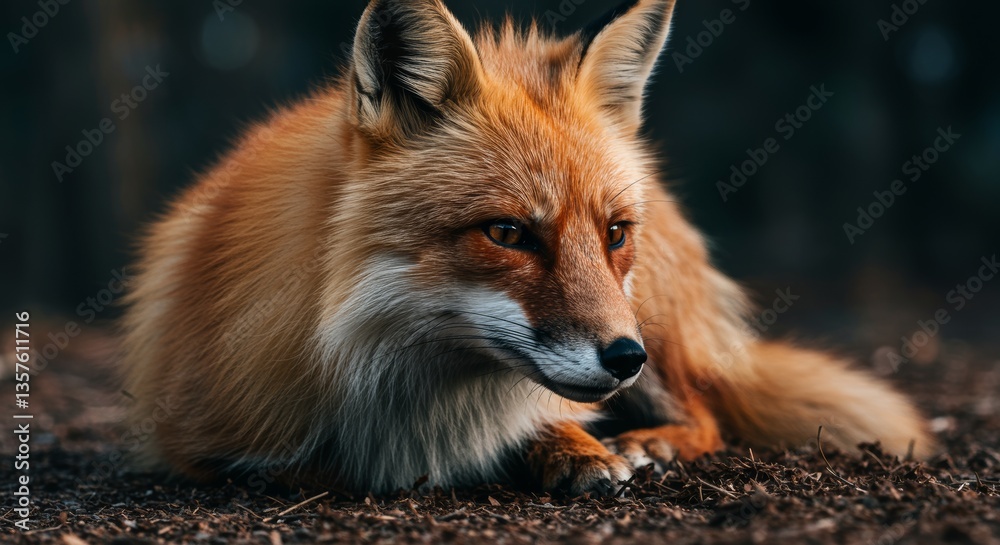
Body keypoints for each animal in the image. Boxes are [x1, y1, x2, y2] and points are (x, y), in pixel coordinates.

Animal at [121, 0, 935, 496]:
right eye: (508, 233)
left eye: (613, 233)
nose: (625, 358)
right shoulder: (204, 444)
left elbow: (551, 424)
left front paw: (579, 451)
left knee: (708, 413)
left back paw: (652, 442)